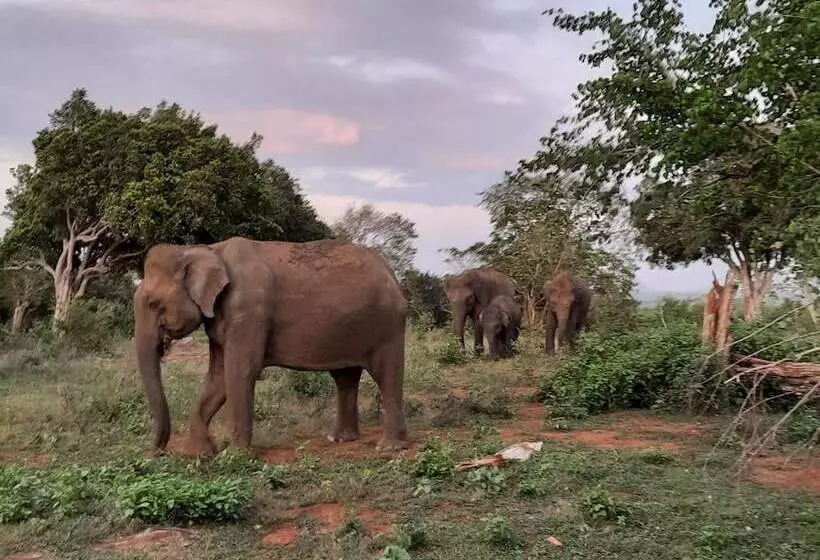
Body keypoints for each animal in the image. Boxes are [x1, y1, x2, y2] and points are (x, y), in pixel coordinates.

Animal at [132, 236, 409, 457]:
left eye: (153, 303)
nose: (157, 453)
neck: (205, 249)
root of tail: (391, 273)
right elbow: (218, 375)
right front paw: (199, 454)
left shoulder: (248, 311)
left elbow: (240, 370)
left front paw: (236, 456)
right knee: (345, 378)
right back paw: (341, 439)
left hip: (388, 325)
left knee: (386, 374)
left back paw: (389, 448)